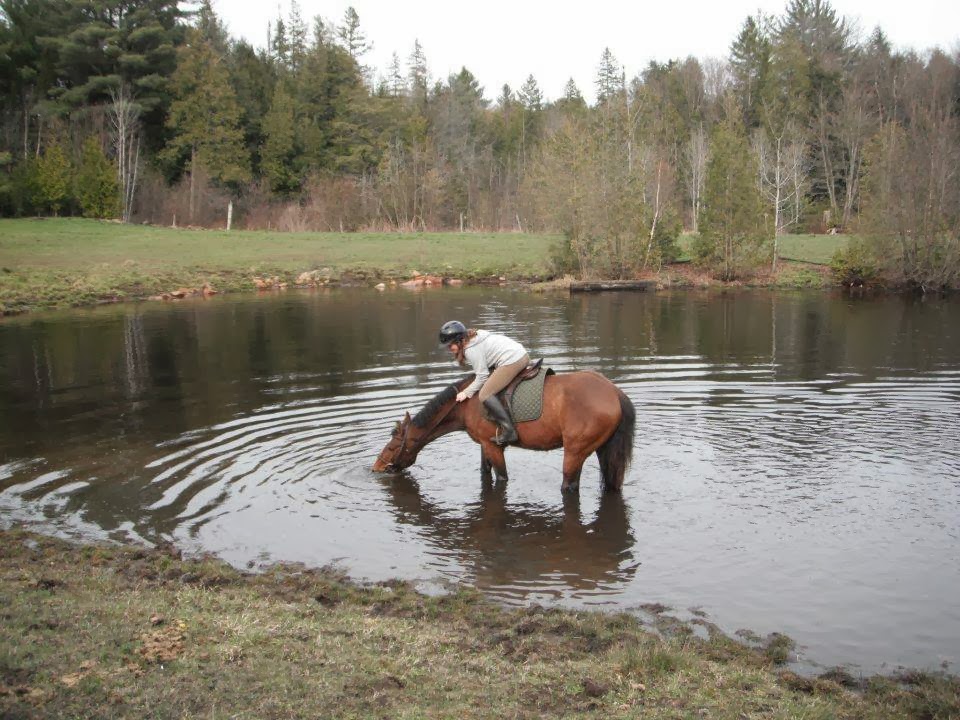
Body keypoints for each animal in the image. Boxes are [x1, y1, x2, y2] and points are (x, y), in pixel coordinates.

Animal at [372, 372, 632, 496]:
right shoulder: (484, 446)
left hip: (575, 453)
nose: (377, 467)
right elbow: (484, 472)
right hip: (603, 452)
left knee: (569, 487)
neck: (467, 403)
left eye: (392, 446)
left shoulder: (493, 446)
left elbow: (502, 478)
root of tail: (614, 392)